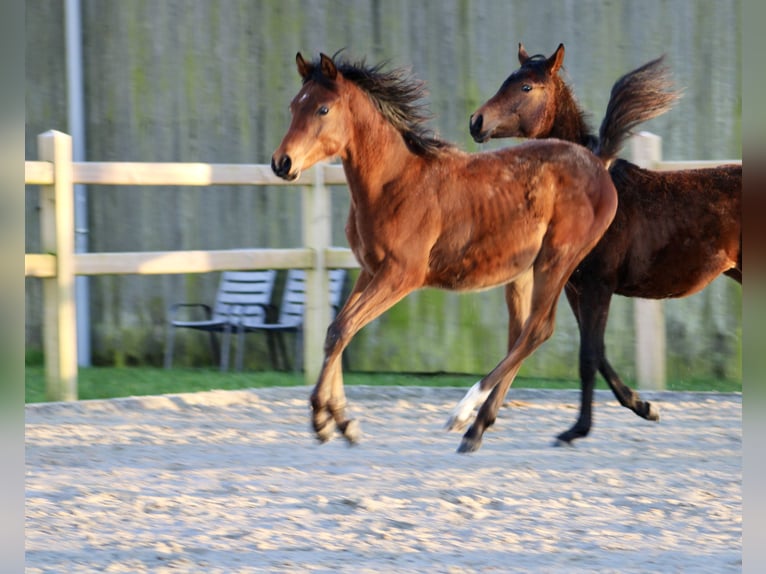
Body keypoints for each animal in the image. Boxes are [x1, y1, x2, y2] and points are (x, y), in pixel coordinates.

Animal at [272, 51, 620, 452]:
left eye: (323, 109)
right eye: (293, 106)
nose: (281, 162)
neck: (393, 183)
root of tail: (599, 165)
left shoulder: (401, 276)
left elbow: (341, 329)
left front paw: (323, 418)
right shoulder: (370, 270)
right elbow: (337, 332)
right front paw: (342, 422)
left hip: (558, 261)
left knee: (537, 330)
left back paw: (464, 412)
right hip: (522, 272)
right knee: (522, 333)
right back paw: (477, 428)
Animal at [468, 45, 744, 448]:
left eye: (526, 86)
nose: (476, 121)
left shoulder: (599, 285)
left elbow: (587, 357)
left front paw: (575, 430)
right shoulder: (574, 288)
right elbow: (596, 352)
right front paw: (644, 406)